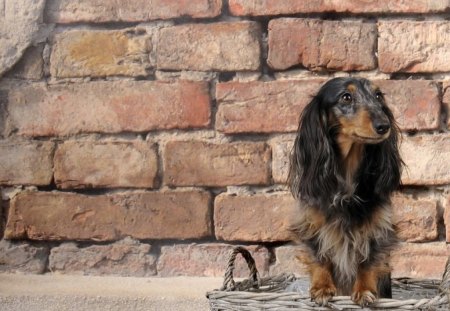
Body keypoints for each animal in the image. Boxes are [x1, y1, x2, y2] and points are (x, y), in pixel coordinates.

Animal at [288, 77, 404, 308]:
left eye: (378, 95)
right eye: (346, 97)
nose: (384, 126)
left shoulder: (379, 228)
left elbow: (367, 261)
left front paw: (364, 290)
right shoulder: (310, 224)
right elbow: (320, 257)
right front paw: (322, 288)